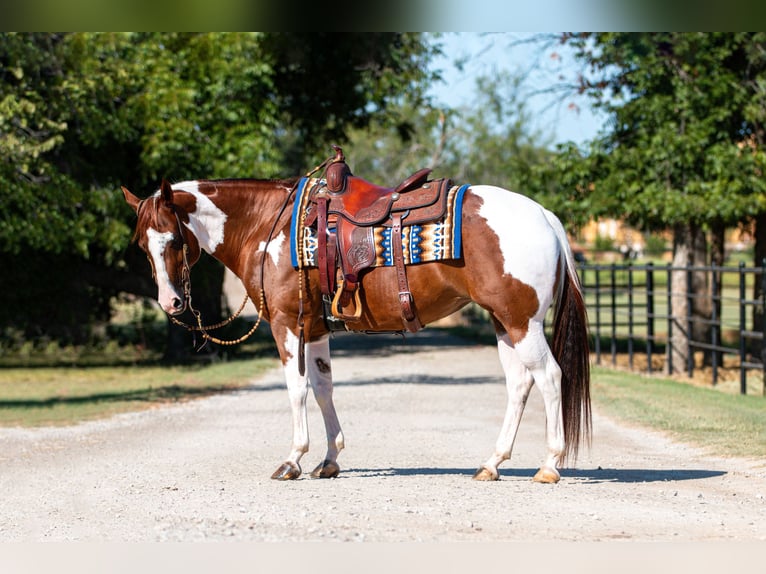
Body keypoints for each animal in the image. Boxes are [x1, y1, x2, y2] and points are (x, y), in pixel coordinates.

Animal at [123, 162, 592, 486]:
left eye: (173, 240)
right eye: (143, 244)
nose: (171, 302)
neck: (267, 226)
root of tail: (544, 215)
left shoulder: (286, 325)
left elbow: (297, 390)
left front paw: (292, 459)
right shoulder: (315, 329)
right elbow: (324, 388)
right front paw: (328, 460)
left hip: (522, 322)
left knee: (550, 377)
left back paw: (549, 465)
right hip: (504, 323)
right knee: (520, 384)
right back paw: (492, 464)